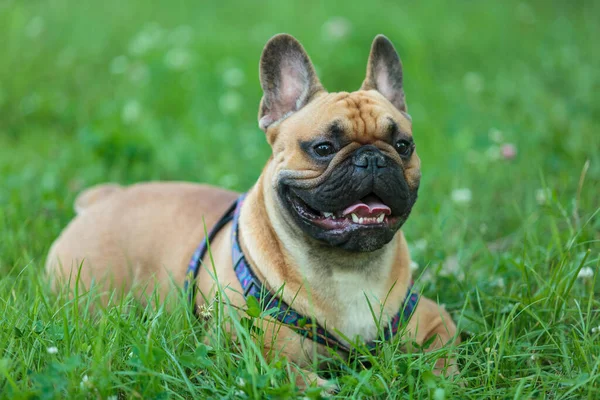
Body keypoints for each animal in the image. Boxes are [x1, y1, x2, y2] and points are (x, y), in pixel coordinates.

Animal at [47, 32, 460, 390]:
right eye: (323, 148)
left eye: (403, 146)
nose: (373, 158)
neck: (346, 267)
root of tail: (104, 199)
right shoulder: (239, 346)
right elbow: (282, 372)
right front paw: (322, 388)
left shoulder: (435, 320)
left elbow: (443, 354)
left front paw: (443, 380)